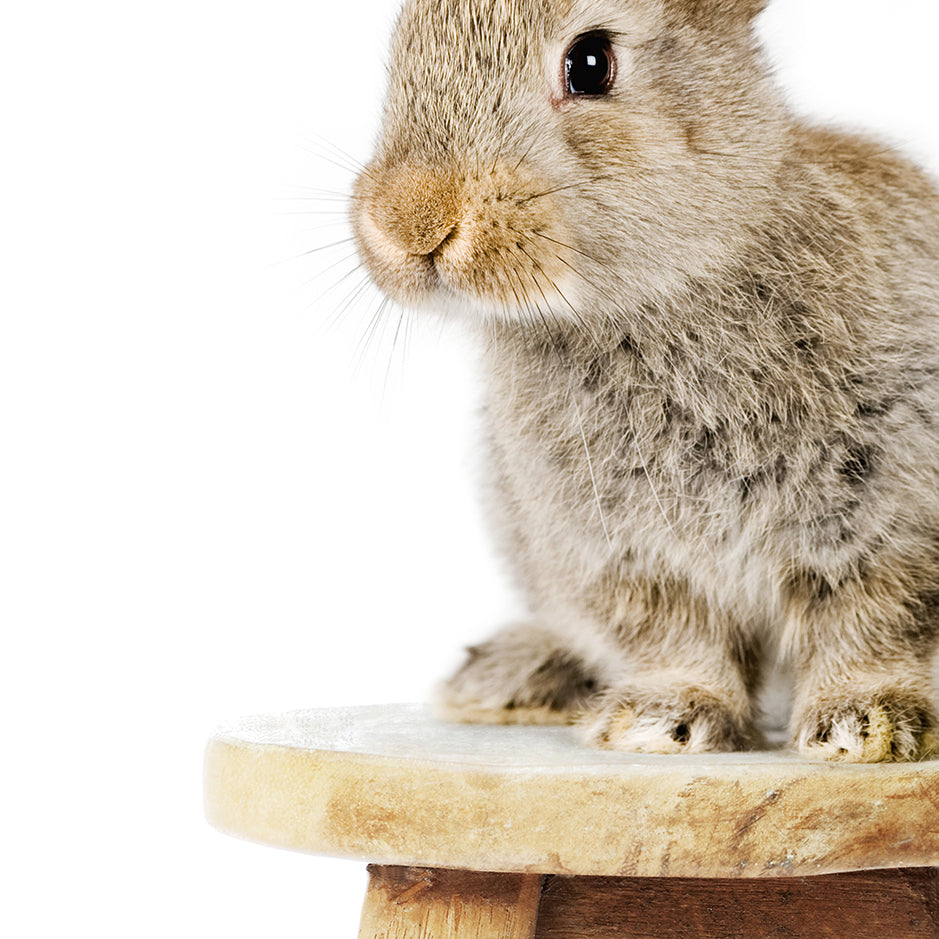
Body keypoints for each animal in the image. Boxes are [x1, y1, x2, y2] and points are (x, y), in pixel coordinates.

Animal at [348, 0, 939, 764]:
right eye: (403, 47)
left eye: (590, 63)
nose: (410, 221)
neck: (665, 287)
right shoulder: (618, 551)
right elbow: (671, 633)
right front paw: (664, 720)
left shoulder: (887, 519)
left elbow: (872, 621)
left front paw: (865, 724)